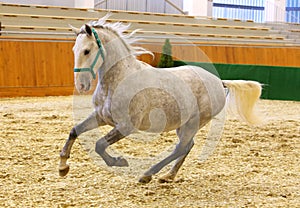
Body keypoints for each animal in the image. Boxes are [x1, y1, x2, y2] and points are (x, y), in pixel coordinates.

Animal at [59, 15, 262, 183]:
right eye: (74, 49)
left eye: (86, 51)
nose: (81, 85)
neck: (119, 79)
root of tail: (219, 81)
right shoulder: (101, 117)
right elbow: (75, 131)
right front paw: (63, 166)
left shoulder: (126, 126)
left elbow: (99, 145)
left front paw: (119, 161)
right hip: (184, 124)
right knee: (187, 146)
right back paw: (168, 176)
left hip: (194, 123)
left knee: (180, 148)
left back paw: (148, 174)